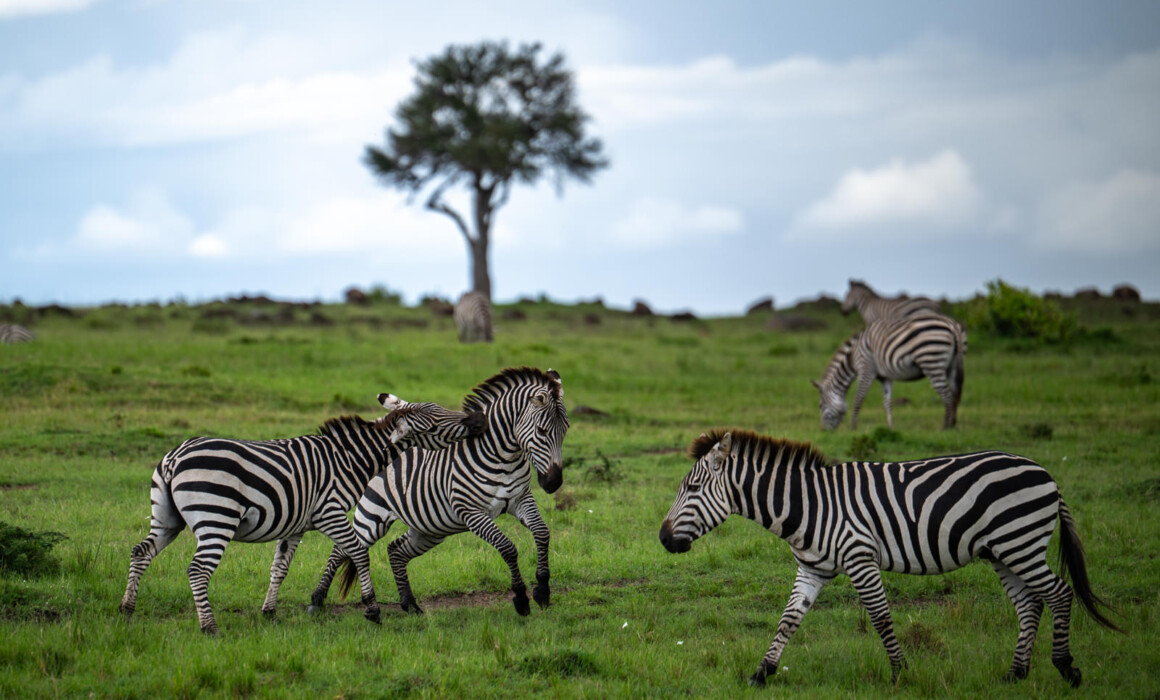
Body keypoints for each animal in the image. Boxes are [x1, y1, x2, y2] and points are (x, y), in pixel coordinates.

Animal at [119, 394, 486, 633]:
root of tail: (174, 457)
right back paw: (209, 627)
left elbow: (280, 567)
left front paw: (269, 612)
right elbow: (358, 553)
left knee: (141, 552)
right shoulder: (331, 512)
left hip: (167, 518)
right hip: (216, 518)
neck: (348, 460)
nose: (477, 420)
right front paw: (372, 610)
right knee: (197, 570)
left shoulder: (295, 525)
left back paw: (127, 610)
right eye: (436, 421)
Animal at [330, 366, 569, 617]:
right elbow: (508, 548)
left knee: (395, 550)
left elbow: (542, 533)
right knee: (340, 551)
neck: (504, 456)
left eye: (566, 429)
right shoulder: (472, 512)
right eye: (542, 431)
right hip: (372, 515)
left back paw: (410, 604)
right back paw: (318, 601)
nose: (553, 483)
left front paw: (542, 590)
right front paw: (521, 598)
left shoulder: (521, 499)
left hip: (429, 528)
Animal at [659, 429, 1121, 687]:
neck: (808, 505)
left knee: (1059, 594)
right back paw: (1015, 674)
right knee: (1030, 605)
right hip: (1002, 551)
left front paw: (901, 674)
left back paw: (1066, 668)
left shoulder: (860, 556)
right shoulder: (812, 567)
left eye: (693, 489)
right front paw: (761, 673)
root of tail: (1047, 474)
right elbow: (788, 620)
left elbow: (881, 617)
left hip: (1019, 542)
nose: (663, 539)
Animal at [812, 314, 965, 430]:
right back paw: (953, 424)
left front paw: (853, 427)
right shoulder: (885, 377)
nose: (823, 430)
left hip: (931, 361)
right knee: (955, 393)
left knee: (947, 394)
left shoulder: (866, 369)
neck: (852, 357)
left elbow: (858, 398)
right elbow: (887, 402)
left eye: (820, 405)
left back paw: (944, 427)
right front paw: (891, 427)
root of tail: (952, 325)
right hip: (951, 366)